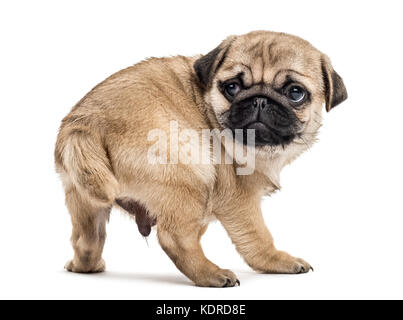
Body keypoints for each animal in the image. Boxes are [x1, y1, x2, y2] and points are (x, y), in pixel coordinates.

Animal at [56, 30, 348, 288]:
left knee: (87, 239)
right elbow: (257, 238)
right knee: (173, 238)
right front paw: (277, 261)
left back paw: (85, 266)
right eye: (232, 87)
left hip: (83, 198)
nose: (260, 101)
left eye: (295, 93)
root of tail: (86, 123)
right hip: (189, 175)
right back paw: (212, 275)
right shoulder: (241, 199)